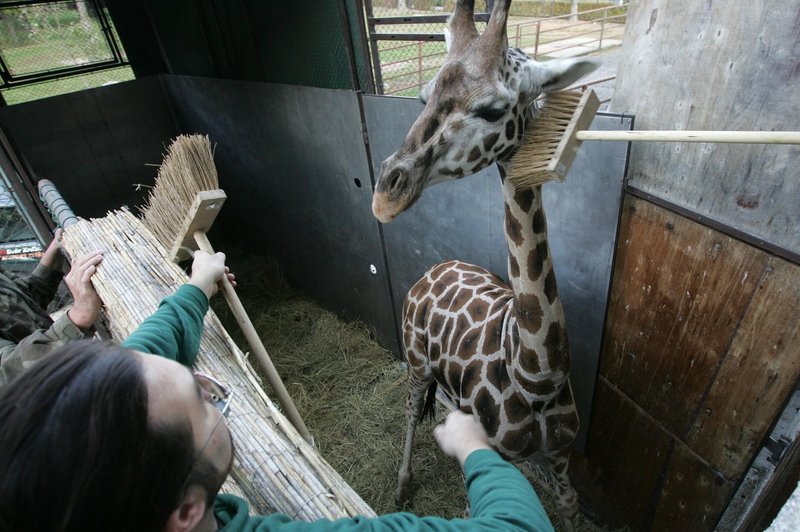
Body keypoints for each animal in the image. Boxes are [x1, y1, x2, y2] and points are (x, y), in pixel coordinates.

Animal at [372, 0, 596, 528]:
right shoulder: (497, 454)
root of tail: (434, 269)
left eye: (493, 108)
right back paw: (403, 484)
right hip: (416, 360)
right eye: (423, 96)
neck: (535, 374)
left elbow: (569, 505)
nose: (384, 196)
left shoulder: (560, 453)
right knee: (410, 409)